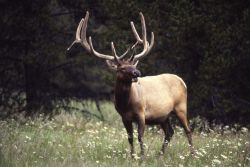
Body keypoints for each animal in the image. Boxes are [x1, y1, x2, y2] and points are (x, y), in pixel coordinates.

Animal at [67, 11, 194, 159]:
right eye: (121, 69)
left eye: (133, 65)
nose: (137, 72)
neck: (126, 104)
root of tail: (182, 81)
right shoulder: (124, 117)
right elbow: (130, 137)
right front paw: (133, 157)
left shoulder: (141, 113)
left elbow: (140, 136)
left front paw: (142, 157)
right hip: (163, 115)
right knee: (170, 132)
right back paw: (160, 155)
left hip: (181, 106)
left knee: (188, 130)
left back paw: (192, 155)